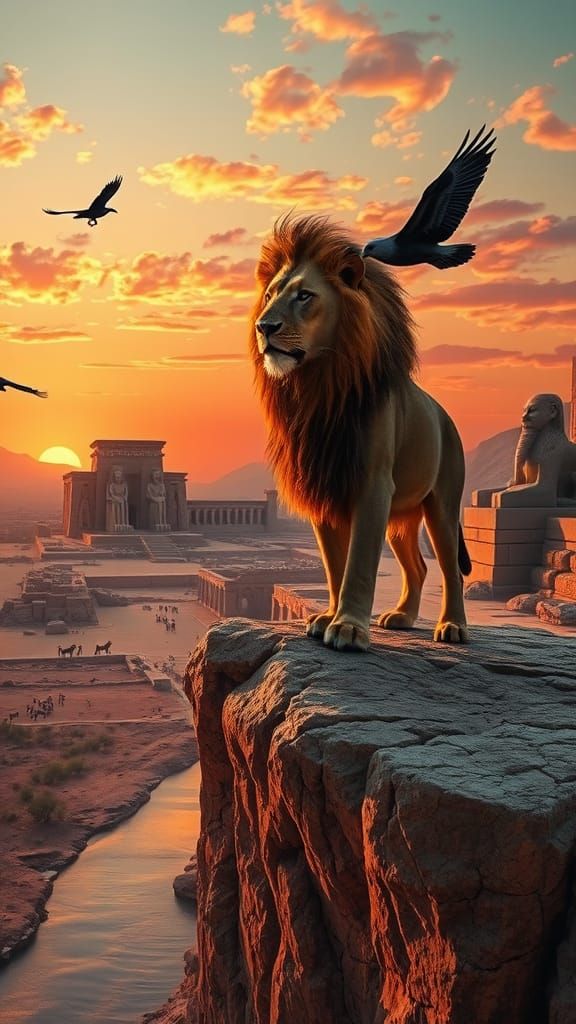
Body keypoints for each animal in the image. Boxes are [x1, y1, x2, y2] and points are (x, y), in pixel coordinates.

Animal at [250, 214, 471, 652]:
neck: (317, 387)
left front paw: (349, 628)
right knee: (418, 566)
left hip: (442, 505)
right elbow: (334, 566)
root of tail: (446, 416)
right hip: (402, 517)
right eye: (268, 295)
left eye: (304, 296)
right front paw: (328, 617)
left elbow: (359, 563)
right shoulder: (322, 485)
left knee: (449, 567)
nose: (264, 326)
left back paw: (453, 626)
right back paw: (401, 617)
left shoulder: (372, 483)